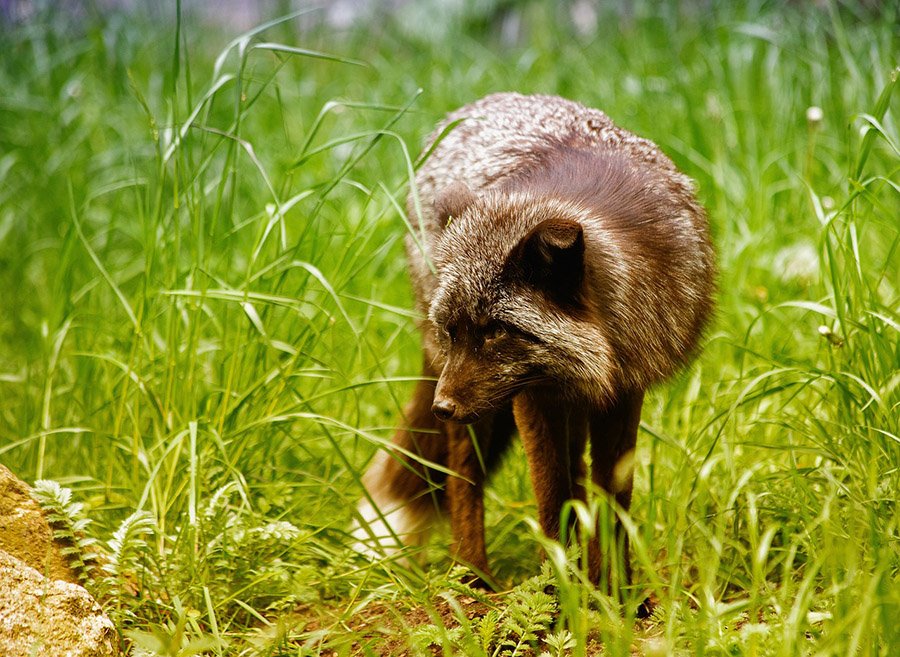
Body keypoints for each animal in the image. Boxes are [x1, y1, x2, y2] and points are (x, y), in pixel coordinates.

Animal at [352, 92, 715, 588]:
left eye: (495, 332)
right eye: (453, 330)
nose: (441, 408)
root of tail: (487, 101)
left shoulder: (624, 390)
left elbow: (611, 501)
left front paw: (614, 591)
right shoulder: (535, 398)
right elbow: (552, 499)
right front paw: (557, 590)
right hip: (478, 410)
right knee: (463, 477)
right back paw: (472, 578)